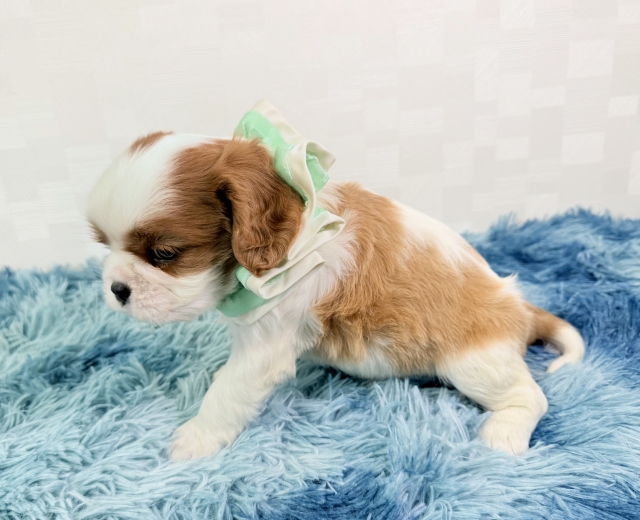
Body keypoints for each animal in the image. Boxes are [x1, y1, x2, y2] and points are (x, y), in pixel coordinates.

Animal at [88, 123, 584, 461]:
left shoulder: (266, 343)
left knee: (531, 397)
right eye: (102, 244)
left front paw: (196, 439)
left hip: (473, 361)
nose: (117, 289)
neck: (295, 235)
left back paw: (503, 433)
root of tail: (519, 306)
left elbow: (228, 391)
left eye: (165, 253)